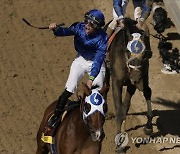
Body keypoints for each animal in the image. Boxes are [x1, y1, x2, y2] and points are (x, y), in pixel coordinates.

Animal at [107, 17, 153, 152]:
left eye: (145, 52)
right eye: (128, 50)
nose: (135, 77)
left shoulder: (135, 81)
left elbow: (126, 105)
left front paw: (148, 127)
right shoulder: (117, 81)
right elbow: (119, 111)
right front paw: (119, 146)